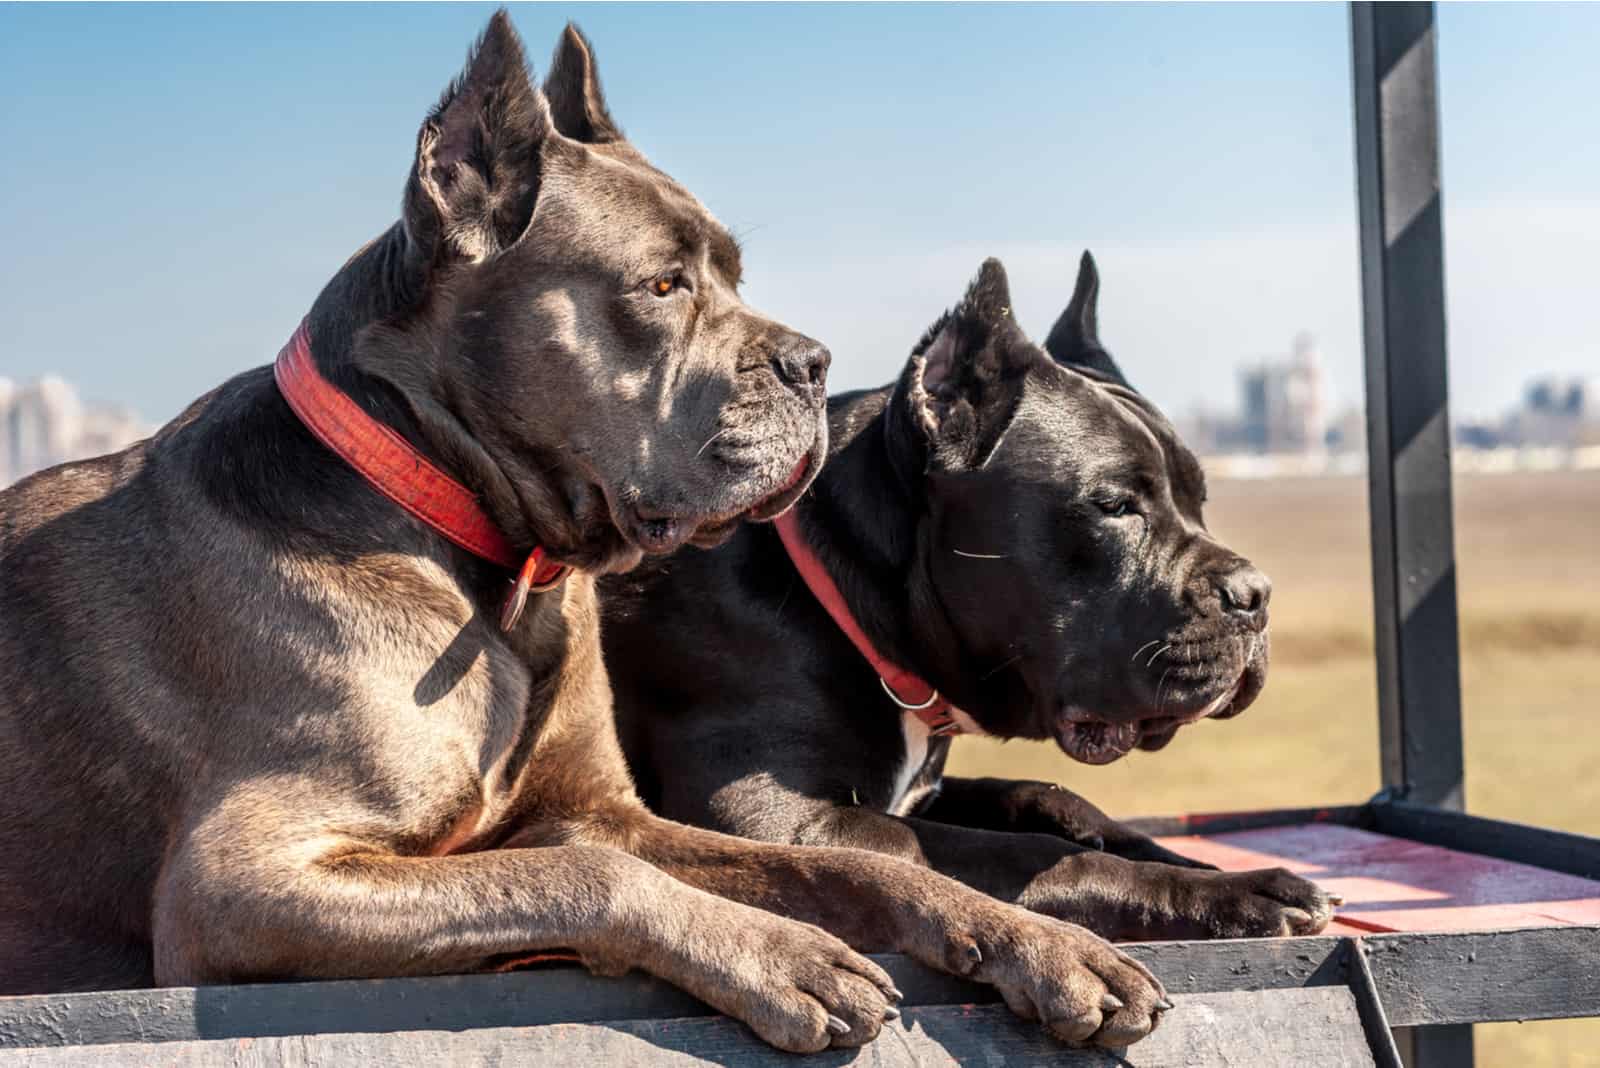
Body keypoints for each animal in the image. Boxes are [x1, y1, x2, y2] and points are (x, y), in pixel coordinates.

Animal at [3, 12, 1177, 1055]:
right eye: (661, 285)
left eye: (735, 275)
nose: (813, 362)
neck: (481, 563)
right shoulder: (243, 883)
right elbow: (585, 872)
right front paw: (780, 954)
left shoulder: (618, 809)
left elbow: (863, 863)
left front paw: (1037, 940)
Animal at [601, 254, 1337, 940]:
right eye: (1115, 506)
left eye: (1199, 501)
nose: (1255, 594)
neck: (841, 593)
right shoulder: (771, 820)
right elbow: (1021, 855)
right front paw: (1231, 892)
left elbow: (1043, 797)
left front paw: (1198, 865)